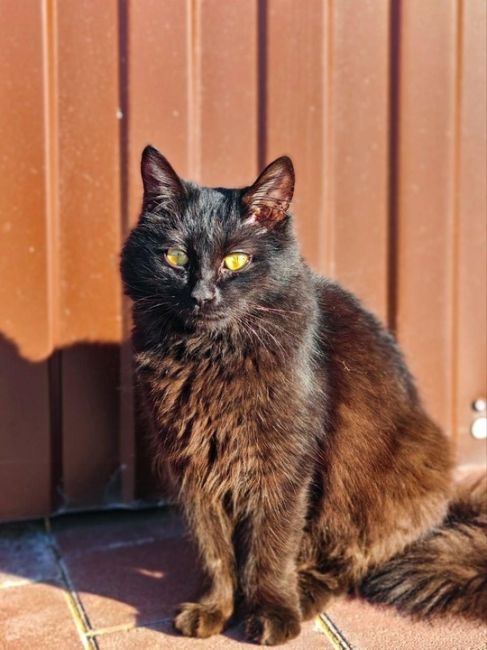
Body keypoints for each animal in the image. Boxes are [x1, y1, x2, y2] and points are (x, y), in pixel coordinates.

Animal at [120, 146, 486, 644]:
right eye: (175, 257)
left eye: (236, 262)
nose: (202, 296)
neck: (210, 354)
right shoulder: (193, 467)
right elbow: (213, 549)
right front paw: (215, 608)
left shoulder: (283, 466)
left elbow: (271, 548)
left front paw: (273, 613)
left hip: (382, 482)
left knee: (350, 563)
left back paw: (305, 593)